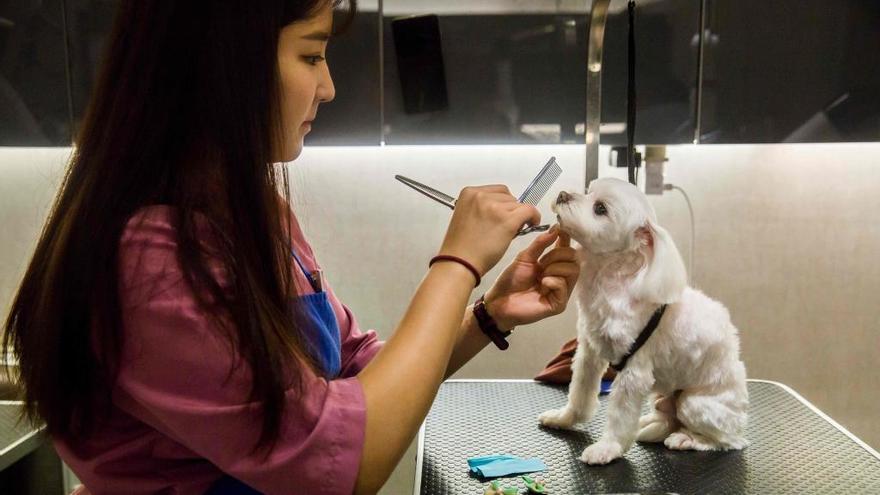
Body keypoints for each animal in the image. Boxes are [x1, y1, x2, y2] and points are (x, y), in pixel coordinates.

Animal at [536, 177, 748, 464]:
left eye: (600, 208)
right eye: (588, 191)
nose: (562, 195)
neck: (607, 281)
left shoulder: (633, 370)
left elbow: (620, 416)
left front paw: (607, 448)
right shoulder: (590, 352)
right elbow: (580, 393)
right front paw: (564, 419)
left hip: (696, 404)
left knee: (724, 441)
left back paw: (688, 439)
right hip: (661, 394)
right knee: (669, 418)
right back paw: (651, 425)